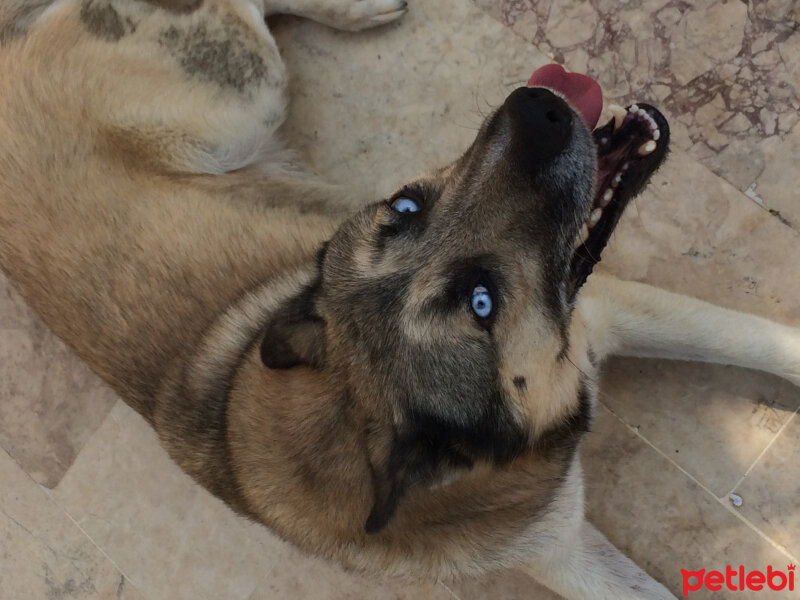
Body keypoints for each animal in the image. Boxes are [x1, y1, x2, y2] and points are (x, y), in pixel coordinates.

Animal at [1, 1, 800, 600]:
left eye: (407, 208)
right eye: (480, 303)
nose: (536, 105)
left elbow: (755, 338)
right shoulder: (561, 540)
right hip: (241, 92)